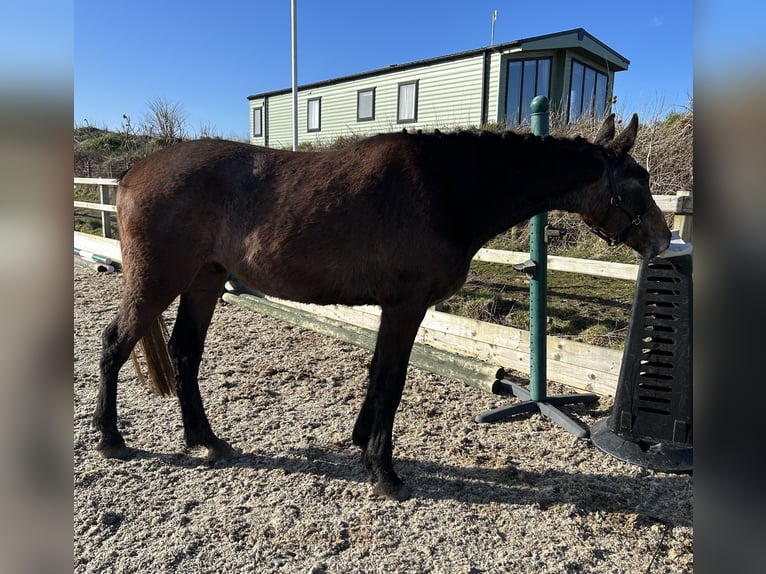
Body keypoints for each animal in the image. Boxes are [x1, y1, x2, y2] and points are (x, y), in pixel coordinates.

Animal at [94, 115, 672, 502]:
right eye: (634, 181)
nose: (664, 241)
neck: (446, 189)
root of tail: (131, 174)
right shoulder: (405, 305)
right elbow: (391, 379)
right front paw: (384, 470)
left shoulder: (393, 308)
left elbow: (377, 375)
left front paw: (361, 445)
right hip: (158, 280)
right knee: (115, 344)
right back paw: (111, 438)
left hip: (205, 281)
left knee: (185, 354)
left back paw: (206, 440)